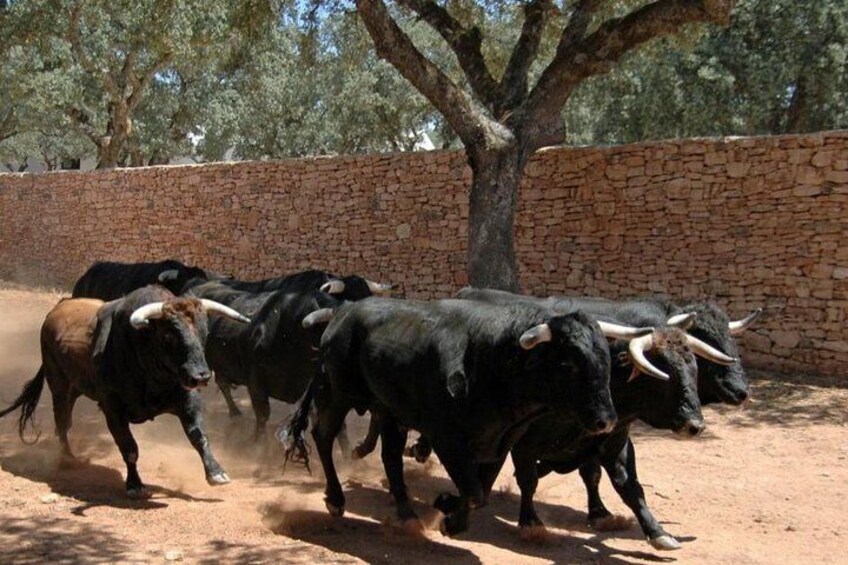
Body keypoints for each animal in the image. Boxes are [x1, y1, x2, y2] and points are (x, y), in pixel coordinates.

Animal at [0, 286, 250, 498]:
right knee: (61, 421)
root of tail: (55, 311)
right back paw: (67, 458)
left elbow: (199, 437)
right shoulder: (113, 410)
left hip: (75, 388)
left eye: (204, 332)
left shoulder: (188, 401)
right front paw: (135, 485)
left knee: (65, 421)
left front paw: (216, 473)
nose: (201, 376)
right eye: (169, 335)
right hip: (59, 386)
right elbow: (129, 448)